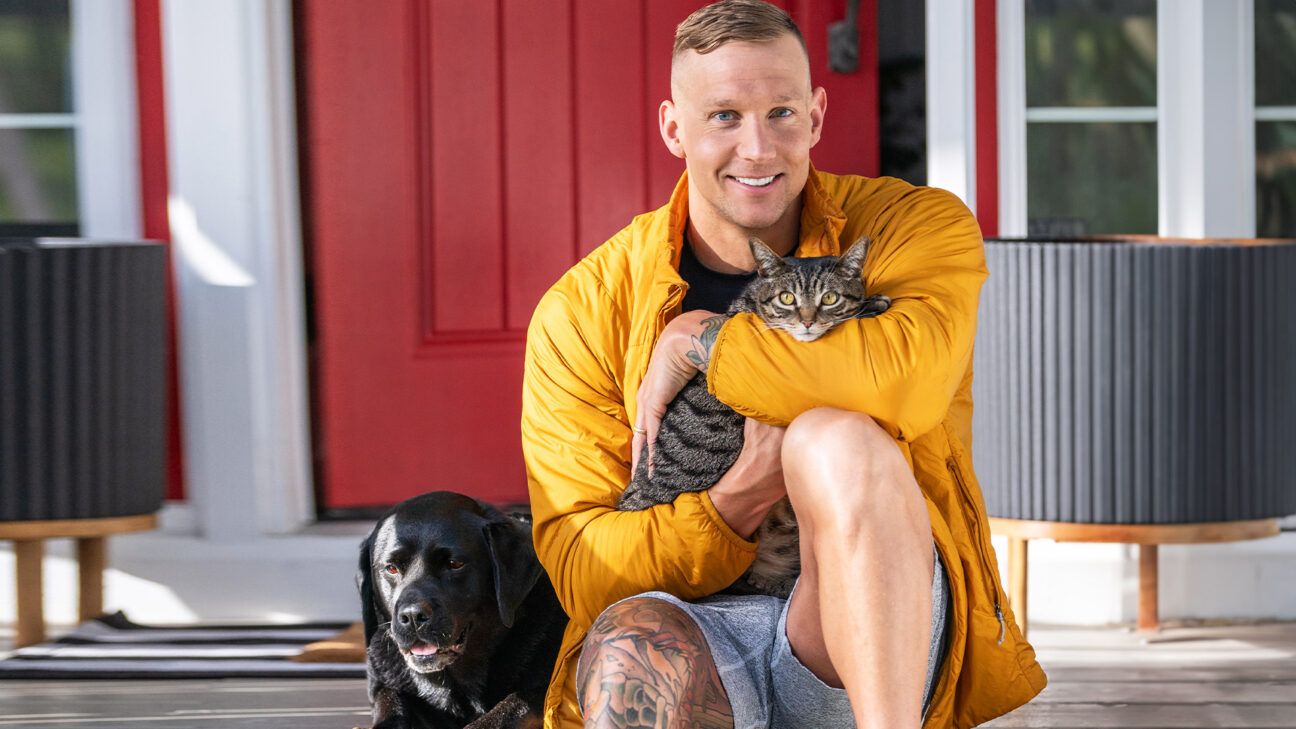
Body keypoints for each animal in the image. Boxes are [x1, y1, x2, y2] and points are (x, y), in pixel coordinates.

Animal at [362, 490, 570, 721]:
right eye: (391, 568)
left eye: (455, 564)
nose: (413, 616)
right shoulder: (383, 686)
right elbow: (391, 701)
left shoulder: (543, 693)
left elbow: (509, 709)